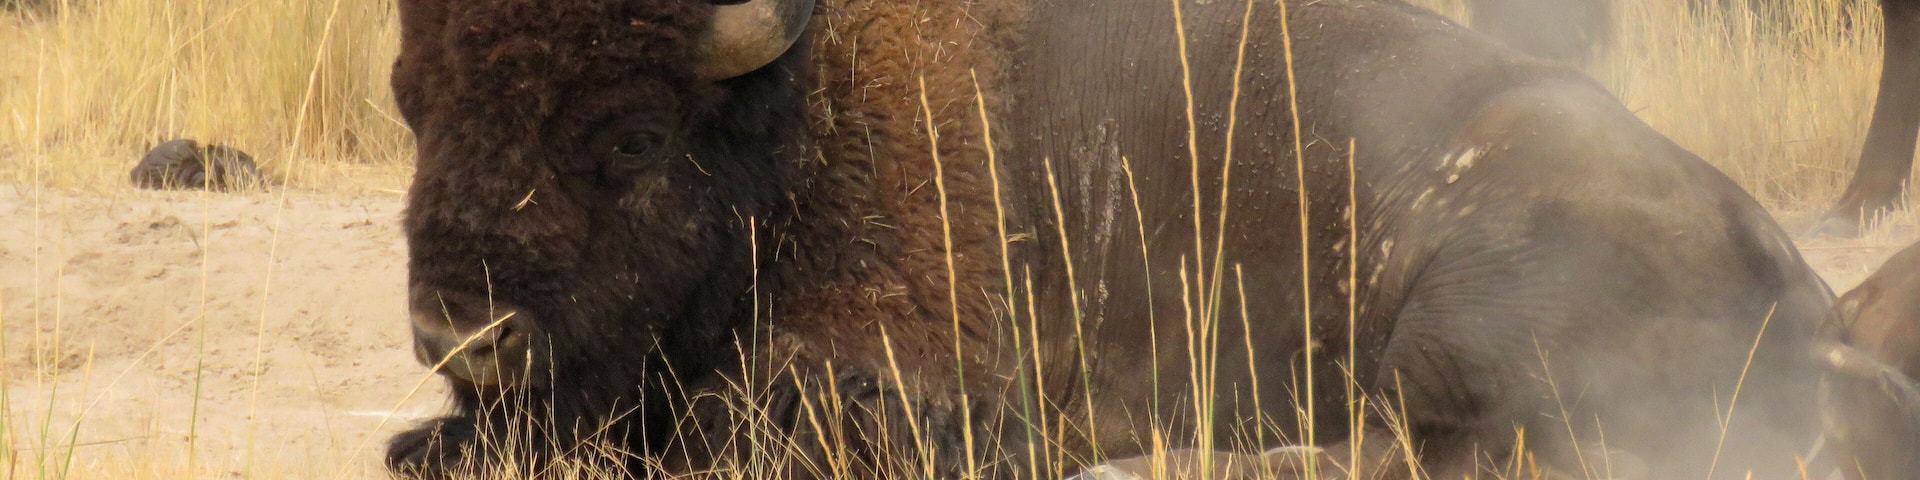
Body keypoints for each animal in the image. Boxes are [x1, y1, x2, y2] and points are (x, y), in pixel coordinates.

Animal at [388, 0, 1849, 479]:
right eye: (413, 102)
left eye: (633, 137)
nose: (462, 332)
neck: (797, 113)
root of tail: (1791, 271)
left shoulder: (890, 383)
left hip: (1454, 311)